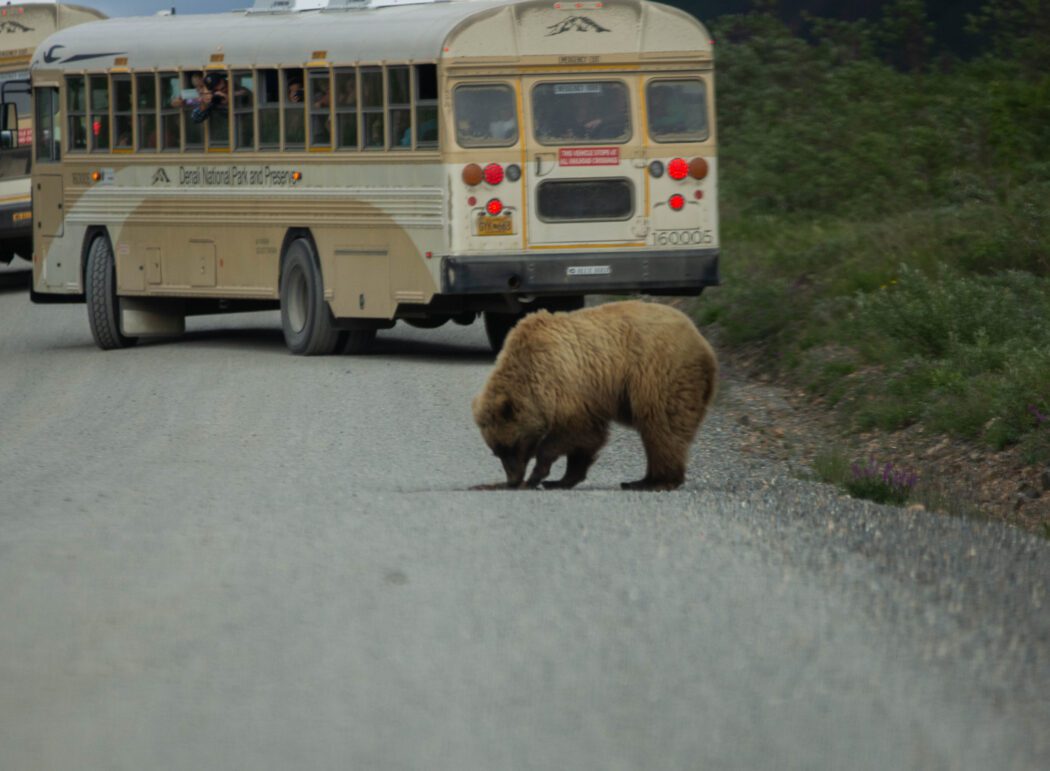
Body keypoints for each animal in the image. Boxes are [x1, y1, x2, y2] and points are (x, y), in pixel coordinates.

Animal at [472, 298, 718, 491]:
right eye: (497, 451)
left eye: (510, 446)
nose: (512, 480)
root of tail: (704, 344)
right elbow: (587, 440)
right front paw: (561, 479)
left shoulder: (571, 386)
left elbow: (575, 433)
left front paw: (538, 475)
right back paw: (642, 480)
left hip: (660, 375)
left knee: (662, 426)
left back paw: (654, 481)